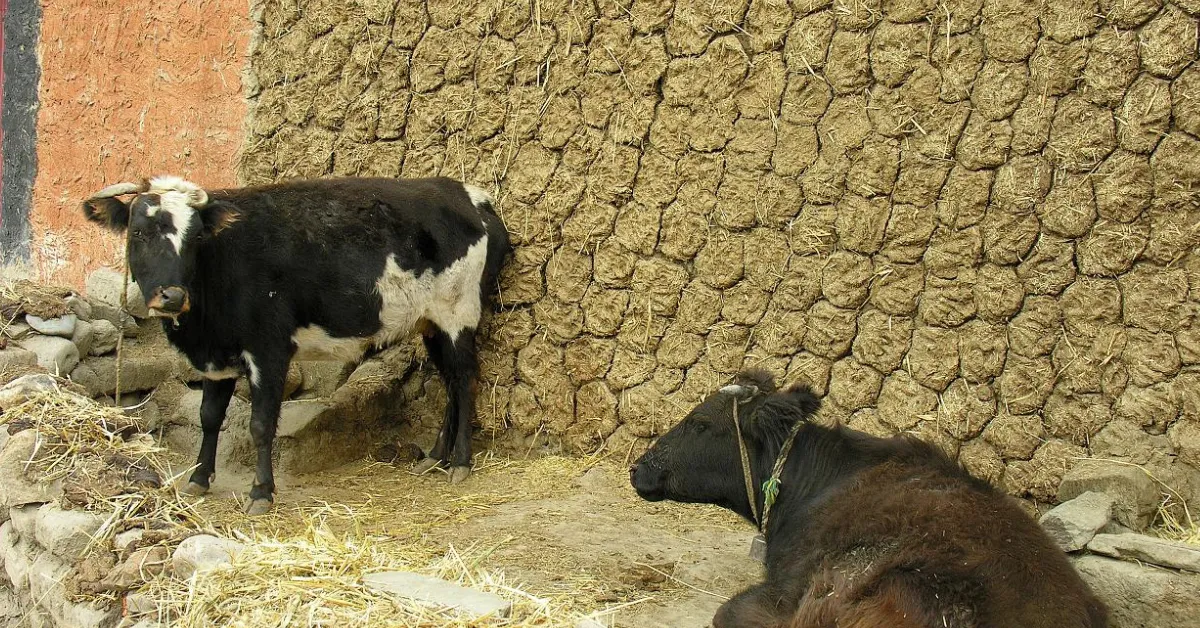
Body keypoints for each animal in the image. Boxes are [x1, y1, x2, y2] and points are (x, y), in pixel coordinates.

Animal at [82, 175, 511, 515]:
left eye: (195, 238)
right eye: (138, 234)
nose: (171, 296)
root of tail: (467, 194)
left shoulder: (268, 349)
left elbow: (260, 424)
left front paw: (261, 492)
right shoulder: (217, 355)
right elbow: (209, 417)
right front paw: (200, 478)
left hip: (458, 313)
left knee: (465, 381)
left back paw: (460, 462)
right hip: (432, 324)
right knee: (450, 383)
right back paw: (436, 457)